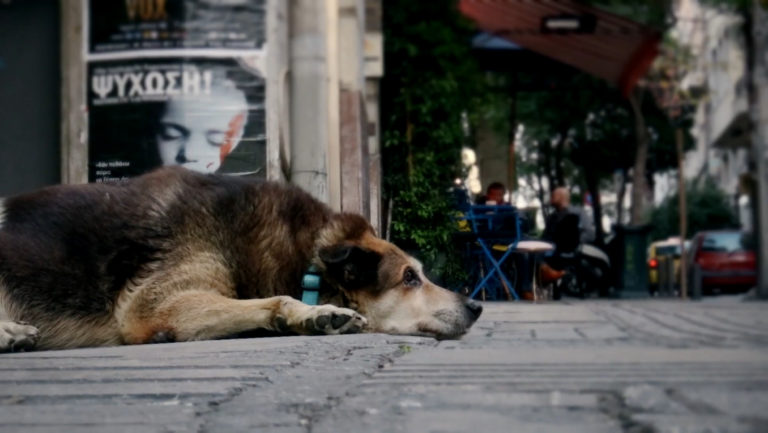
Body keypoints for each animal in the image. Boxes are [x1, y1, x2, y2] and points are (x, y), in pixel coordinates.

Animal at [0, 166, 480, 352]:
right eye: (410, 278)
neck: (303, 255)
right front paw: (318, 314)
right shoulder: (154, 306)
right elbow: (279, 300)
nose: (476, 305)